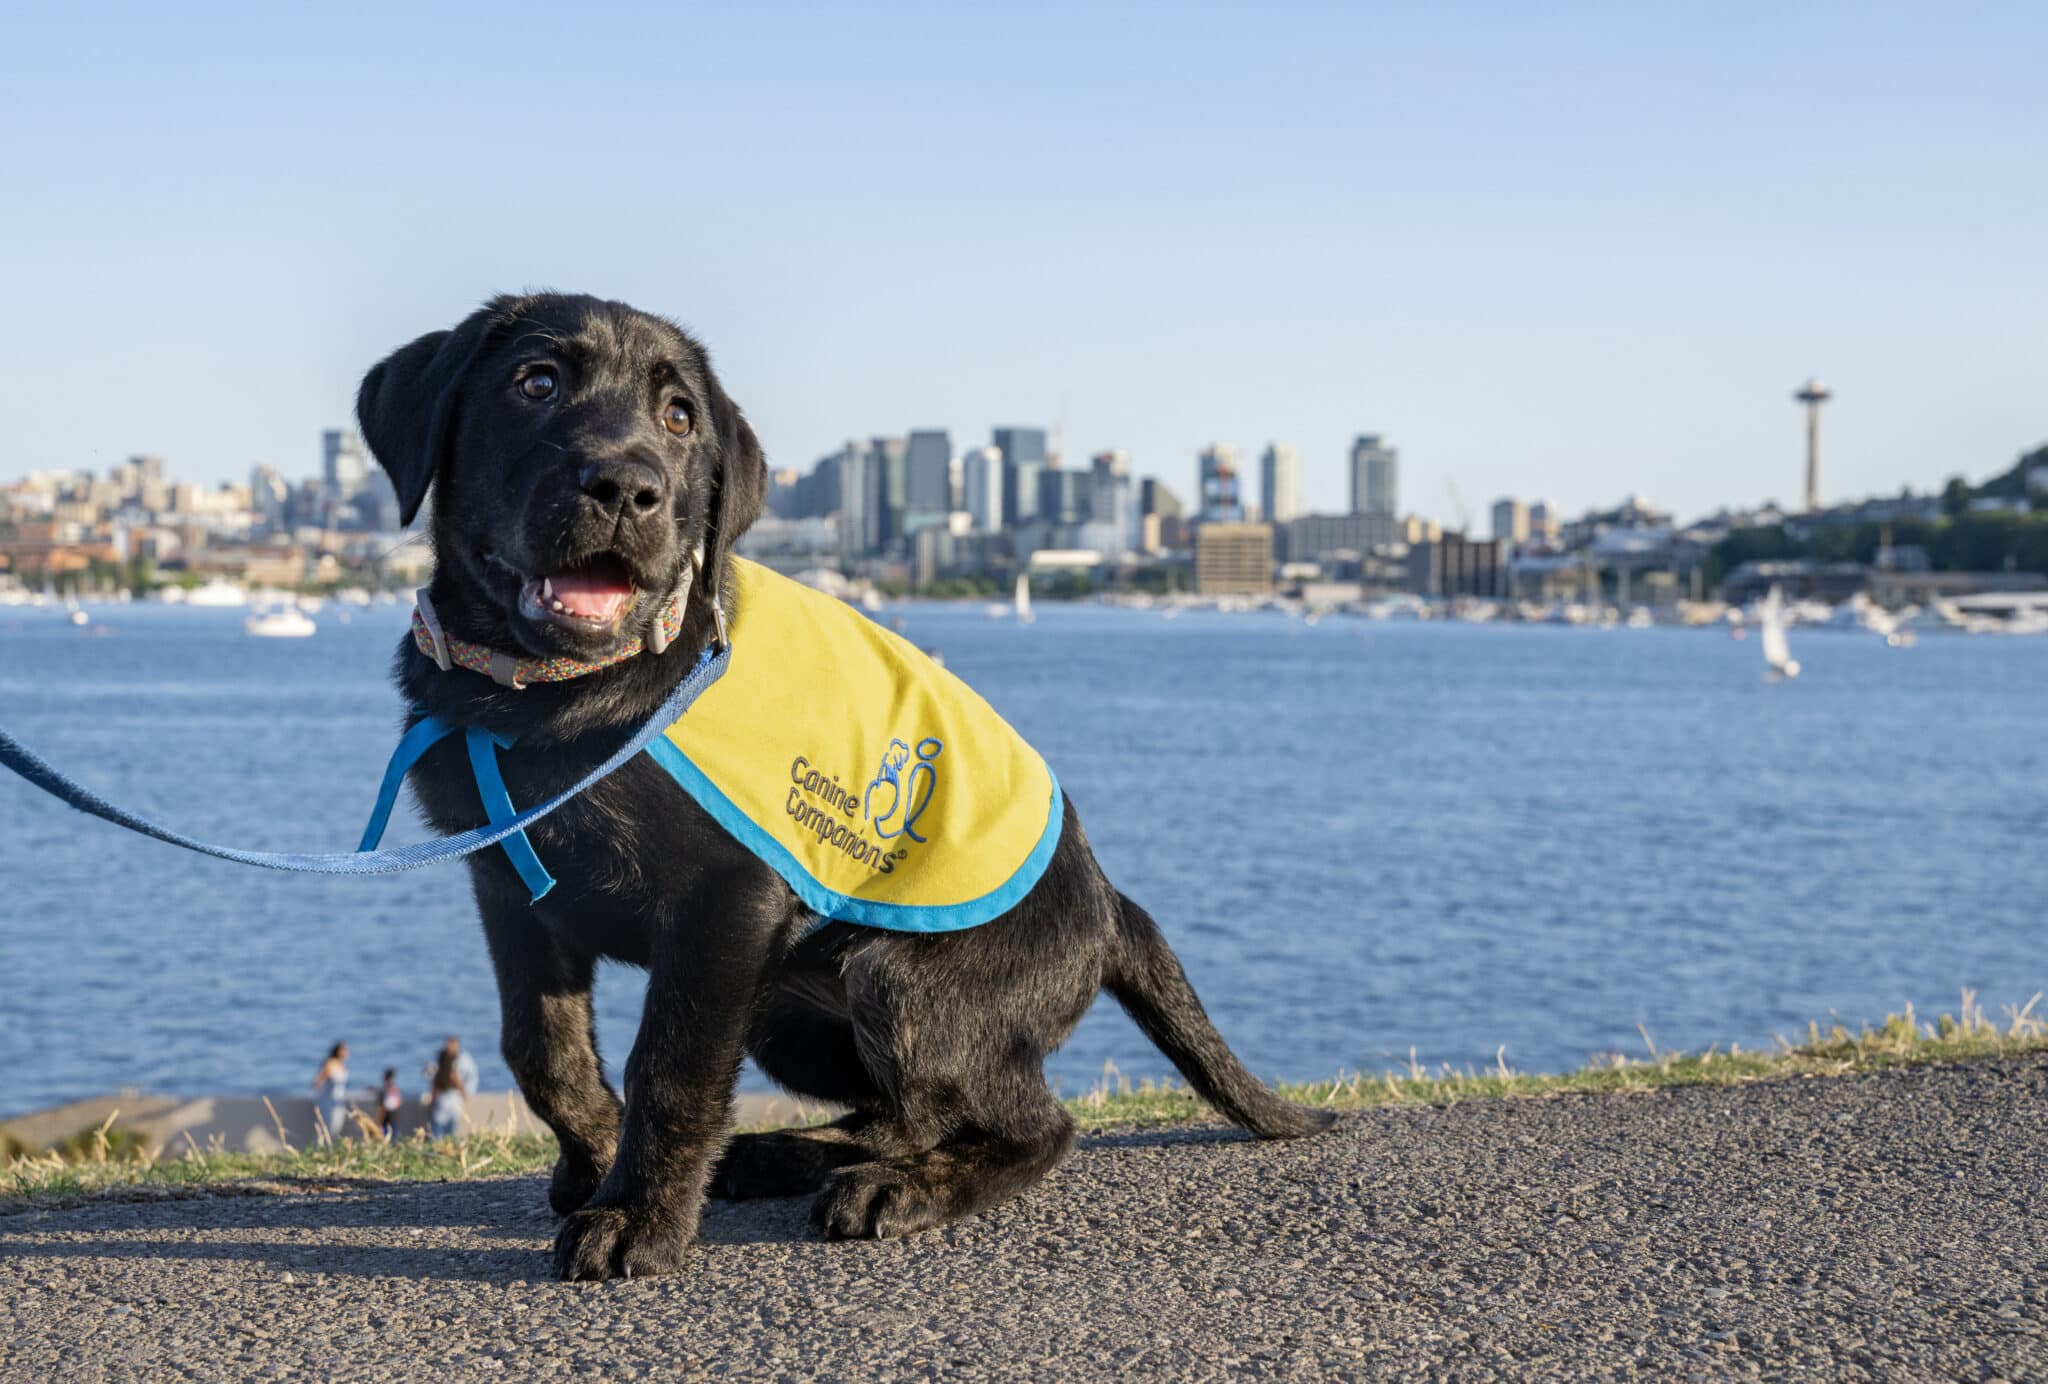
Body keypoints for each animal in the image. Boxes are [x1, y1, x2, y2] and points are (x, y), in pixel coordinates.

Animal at [360, 294, 1335, 1285]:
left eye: (680, 418)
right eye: (537, 382)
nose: (629, 488)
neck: (552, 698)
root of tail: (1107, 902)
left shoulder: (723, 903)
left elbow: (669, 1066)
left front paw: (640, 1216)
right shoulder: (510, 891)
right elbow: (542, 1052)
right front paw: (595, 1159)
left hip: (899, 984)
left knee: (1033, 1125)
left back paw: (899, 1189)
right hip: (783, 1015)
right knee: (909, 1113)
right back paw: (787, 1155)